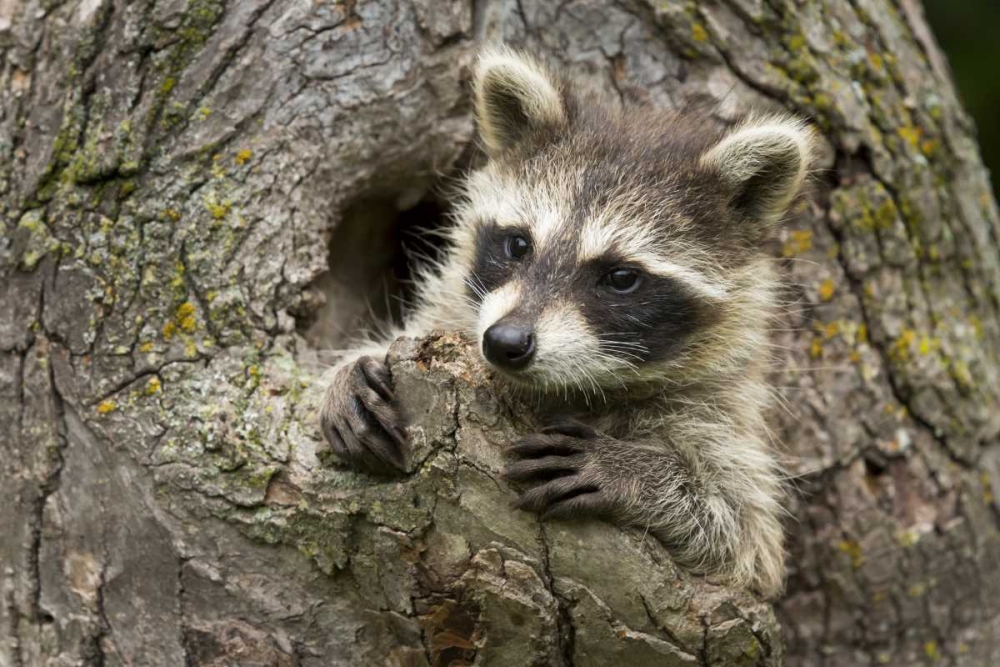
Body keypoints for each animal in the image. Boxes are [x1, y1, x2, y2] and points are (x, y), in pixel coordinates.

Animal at [320, 46, 815, 597]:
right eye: (518, 244)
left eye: (620, 277)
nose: (505, 341)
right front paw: (348, 371)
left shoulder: (717, 407)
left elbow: (745, 536)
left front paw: (638, 472)